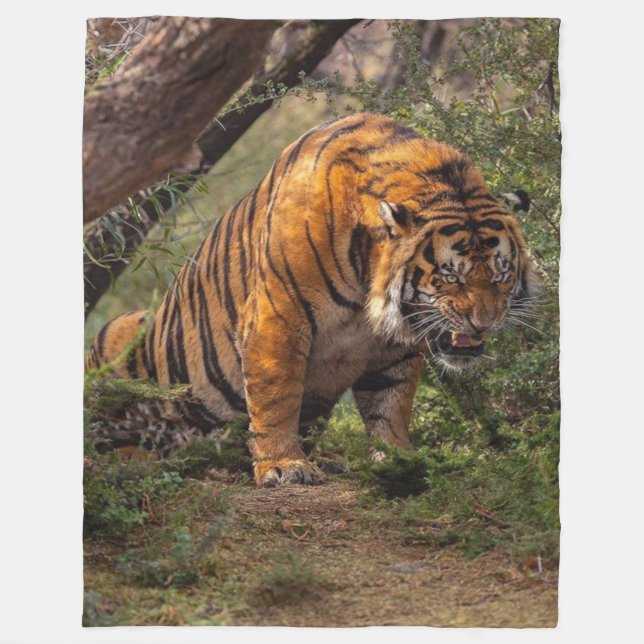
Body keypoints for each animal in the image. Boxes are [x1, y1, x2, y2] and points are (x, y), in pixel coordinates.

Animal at [86, 113, 538, 487]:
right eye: (450, 276)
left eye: (501, 273)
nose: (485, 322)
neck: (368, 280)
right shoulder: (278, 319)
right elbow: (277, 398)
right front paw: (285, 466)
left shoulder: (394, 347)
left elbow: (391, 404)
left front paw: (400, 460)